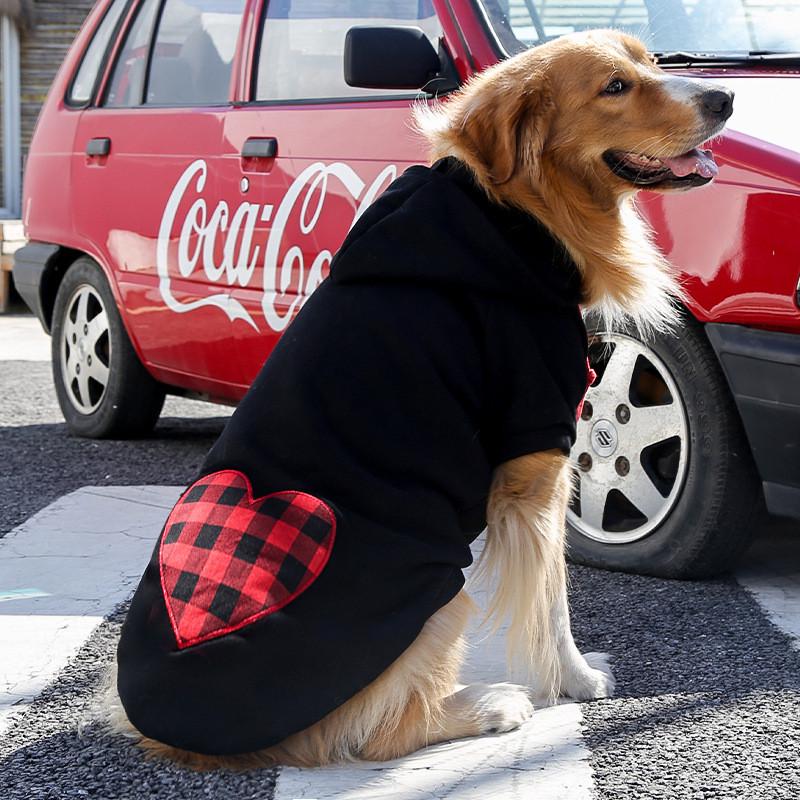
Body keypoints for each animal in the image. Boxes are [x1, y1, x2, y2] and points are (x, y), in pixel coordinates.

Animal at [103, 29, 736, 768]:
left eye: (653, 62)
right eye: (614, 86)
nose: (726, 97)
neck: (514, 214)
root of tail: (182, 735)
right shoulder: (538, 463)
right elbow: (552, 602)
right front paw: (575, 681)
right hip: (440, 590)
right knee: (377, 734)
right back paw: (491, 705)